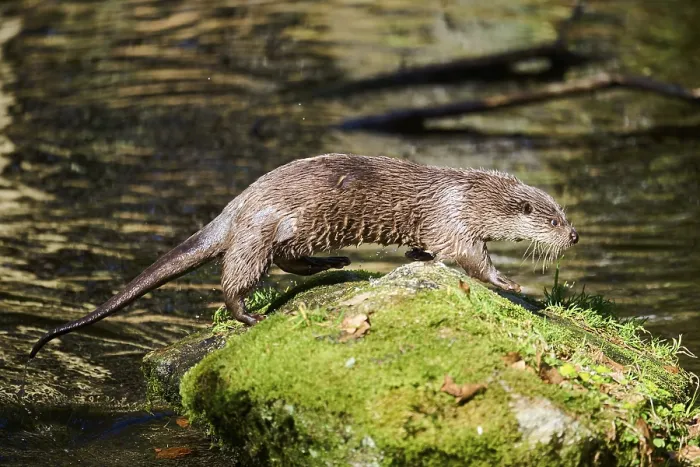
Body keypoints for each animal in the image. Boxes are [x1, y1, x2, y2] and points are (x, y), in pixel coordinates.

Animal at [29, 154, 578, 358]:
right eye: (552, 220)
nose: (573, 236)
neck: (470, 195)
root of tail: (238, 203)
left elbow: (429, 250)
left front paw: (415, 253)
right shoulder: (456, 222)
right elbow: (470, 259)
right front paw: (510, 284)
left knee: (286, 262)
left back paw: (333, 266)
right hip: (265, 229)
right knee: (238, 277)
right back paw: (250, 316)